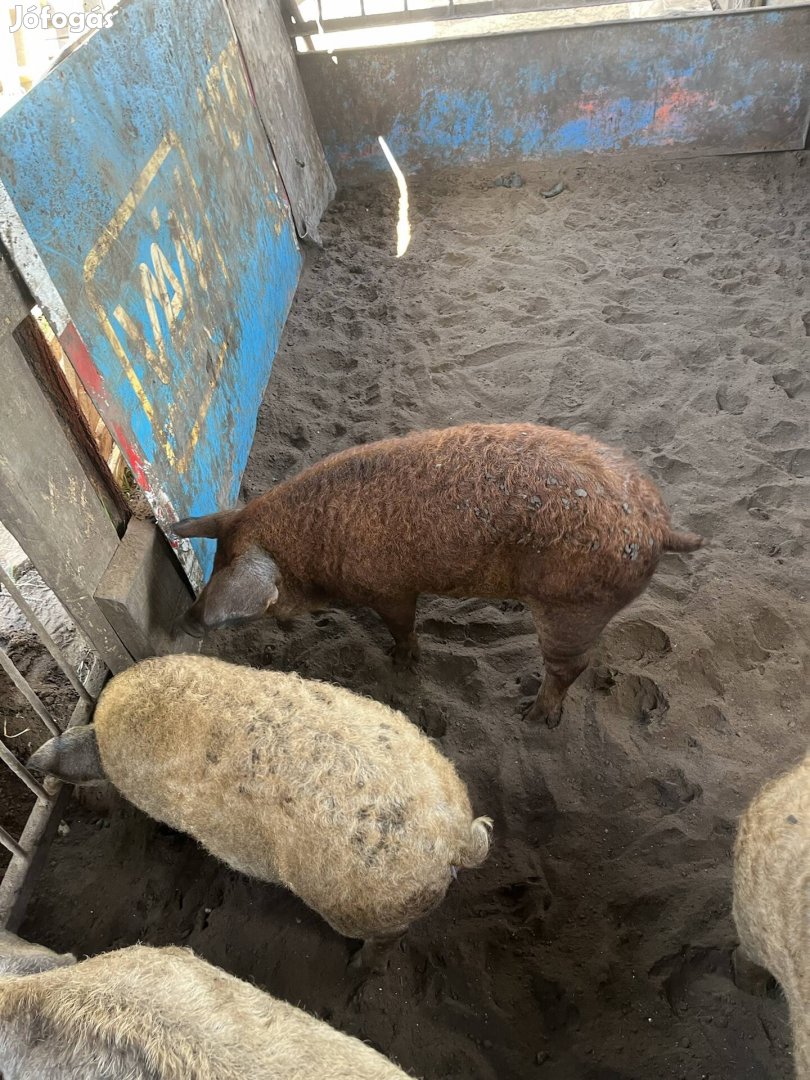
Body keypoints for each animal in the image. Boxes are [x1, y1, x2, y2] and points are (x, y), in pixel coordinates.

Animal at [172, 421, 704, 725]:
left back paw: (530, 716)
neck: (313, 551)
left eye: (227, 574)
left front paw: (401, 664)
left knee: (570, 666)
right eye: (215, 559)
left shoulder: (391, 588)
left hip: (572, 606)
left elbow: (403, 626)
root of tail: (659, 525)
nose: (187, 620)